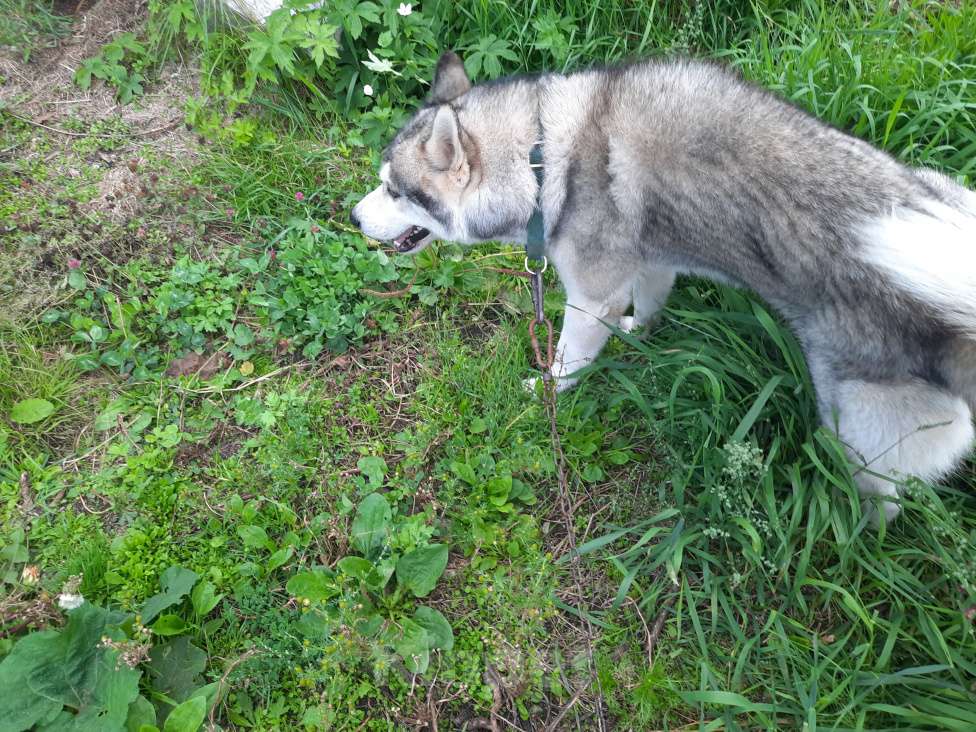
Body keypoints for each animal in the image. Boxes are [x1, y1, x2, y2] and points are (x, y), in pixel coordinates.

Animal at [350, 51, 976, 520]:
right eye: (382, 184)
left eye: (396, 191)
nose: (354, 217)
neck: (541, 158)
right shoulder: (652, 264)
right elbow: (648, 309)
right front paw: (638, 335)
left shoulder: (589, 298)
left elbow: (567, 360)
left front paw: (547, 390)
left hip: (855, 432)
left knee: (884, 501)